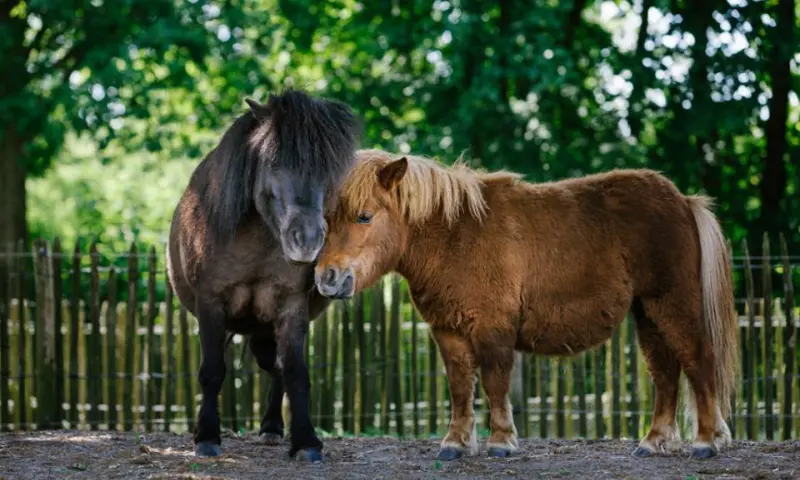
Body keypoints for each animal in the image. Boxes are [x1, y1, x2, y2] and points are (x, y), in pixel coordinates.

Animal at [166, 88, 361, 462]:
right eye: (273, 162)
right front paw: (206, 437)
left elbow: (296, 372)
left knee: (278, 368)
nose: (307, 239)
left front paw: (306, 442)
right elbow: (212, 371)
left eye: (329, 169)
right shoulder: (211, 306)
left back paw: (272, 428)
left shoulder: (291, 308)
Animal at [313, 148, 738, 461]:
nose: (327, 278)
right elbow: (459, 386)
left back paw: (706, 441)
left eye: (364, 216)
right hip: (647, 313)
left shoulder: (492, 329)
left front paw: (501, 441)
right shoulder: (448, 332)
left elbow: (494, 383)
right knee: (665, 373)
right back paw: (653, 441)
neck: (454, 236)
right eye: (327, 218)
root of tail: (683, 200)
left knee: (698, 361)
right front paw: (455, 443)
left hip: (672, 304)